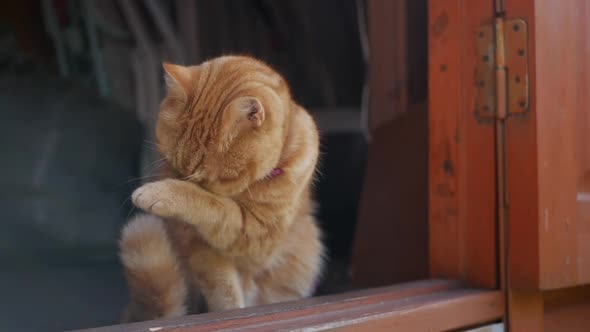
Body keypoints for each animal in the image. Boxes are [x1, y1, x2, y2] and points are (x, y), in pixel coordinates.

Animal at [119, 55, 324, 322]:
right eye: (172, 165)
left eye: (208, 179)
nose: (179, 179)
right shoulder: (199, 247)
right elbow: (222, 288)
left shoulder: (259, 237)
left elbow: (216, 206)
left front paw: (163, 193)